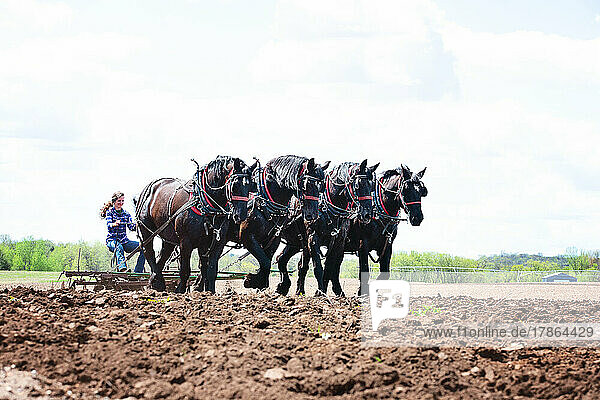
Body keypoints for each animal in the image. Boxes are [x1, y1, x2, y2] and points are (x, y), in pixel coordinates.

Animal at [135, 157, 254, 294]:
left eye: (251, 186)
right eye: (235, 185)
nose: (241, 215)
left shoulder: (215, 243)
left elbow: (210, 269)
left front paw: (210, 291)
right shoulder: (185, 242)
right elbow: (185, 270)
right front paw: (180, 290)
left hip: (168, 236)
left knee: (162, 256)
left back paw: (154, 283)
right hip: (146, 229)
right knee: (149, 252)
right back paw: (157, 281)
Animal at [274, 160, 378, 296]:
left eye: (372, 186)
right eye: (358, 185)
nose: (367, 214)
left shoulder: (338, 240)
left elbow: (329, 267)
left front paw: (323, 291)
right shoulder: (313, 237)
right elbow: (318, 267)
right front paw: (320, 291)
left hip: (295, 242)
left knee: (283, 259)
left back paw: (289, 288)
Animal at [344, 163, 428, 296]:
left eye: (422, 191)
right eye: (406, 189)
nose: (417, 217)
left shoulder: (386, 245)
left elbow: (385, 273)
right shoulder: (363, 244)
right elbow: (365, 271)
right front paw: (362, 292)